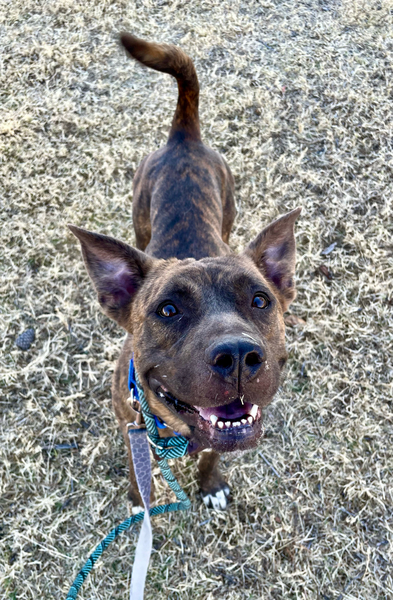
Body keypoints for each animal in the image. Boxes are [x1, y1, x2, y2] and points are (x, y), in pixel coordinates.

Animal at [69, 32, 300, 510]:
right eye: (168, 310)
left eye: (260, 300)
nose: (238, 356)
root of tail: (184, 138)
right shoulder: (130, 428)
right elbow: (138, 469)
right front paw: (140, 498)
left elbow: (213, 453)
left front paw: (209, 485)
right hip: (139, 209)